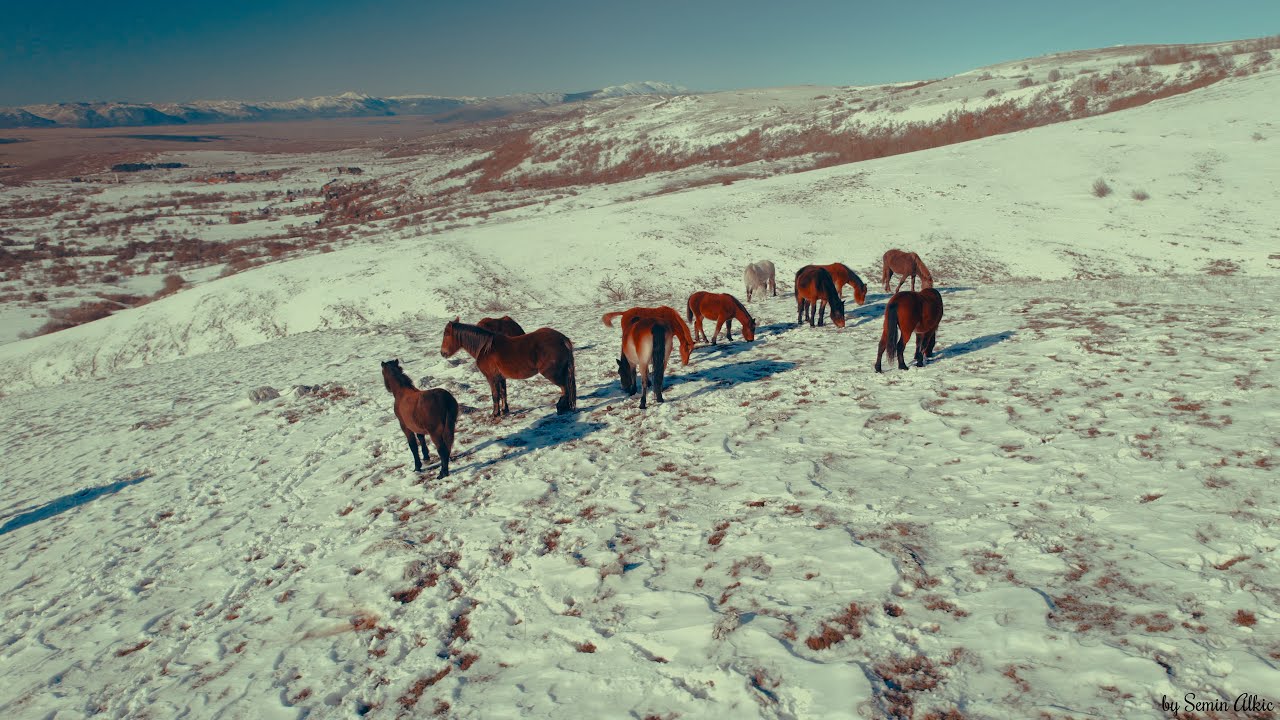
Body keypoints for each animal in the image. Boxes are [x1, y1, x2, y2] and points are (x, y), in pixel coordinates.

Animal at [441, 318, 577, 417]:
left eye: (446, 334)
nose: (443, 353)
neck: (485, 348)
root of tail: (562, 339)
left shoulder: (492, 378)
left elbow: (495, 395)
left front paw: (495, 413)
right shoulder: (501, 378)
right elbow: (503, 393)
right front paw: (504, 410)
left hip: (552, 373)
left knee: (564, 388)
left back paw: (561, 408)